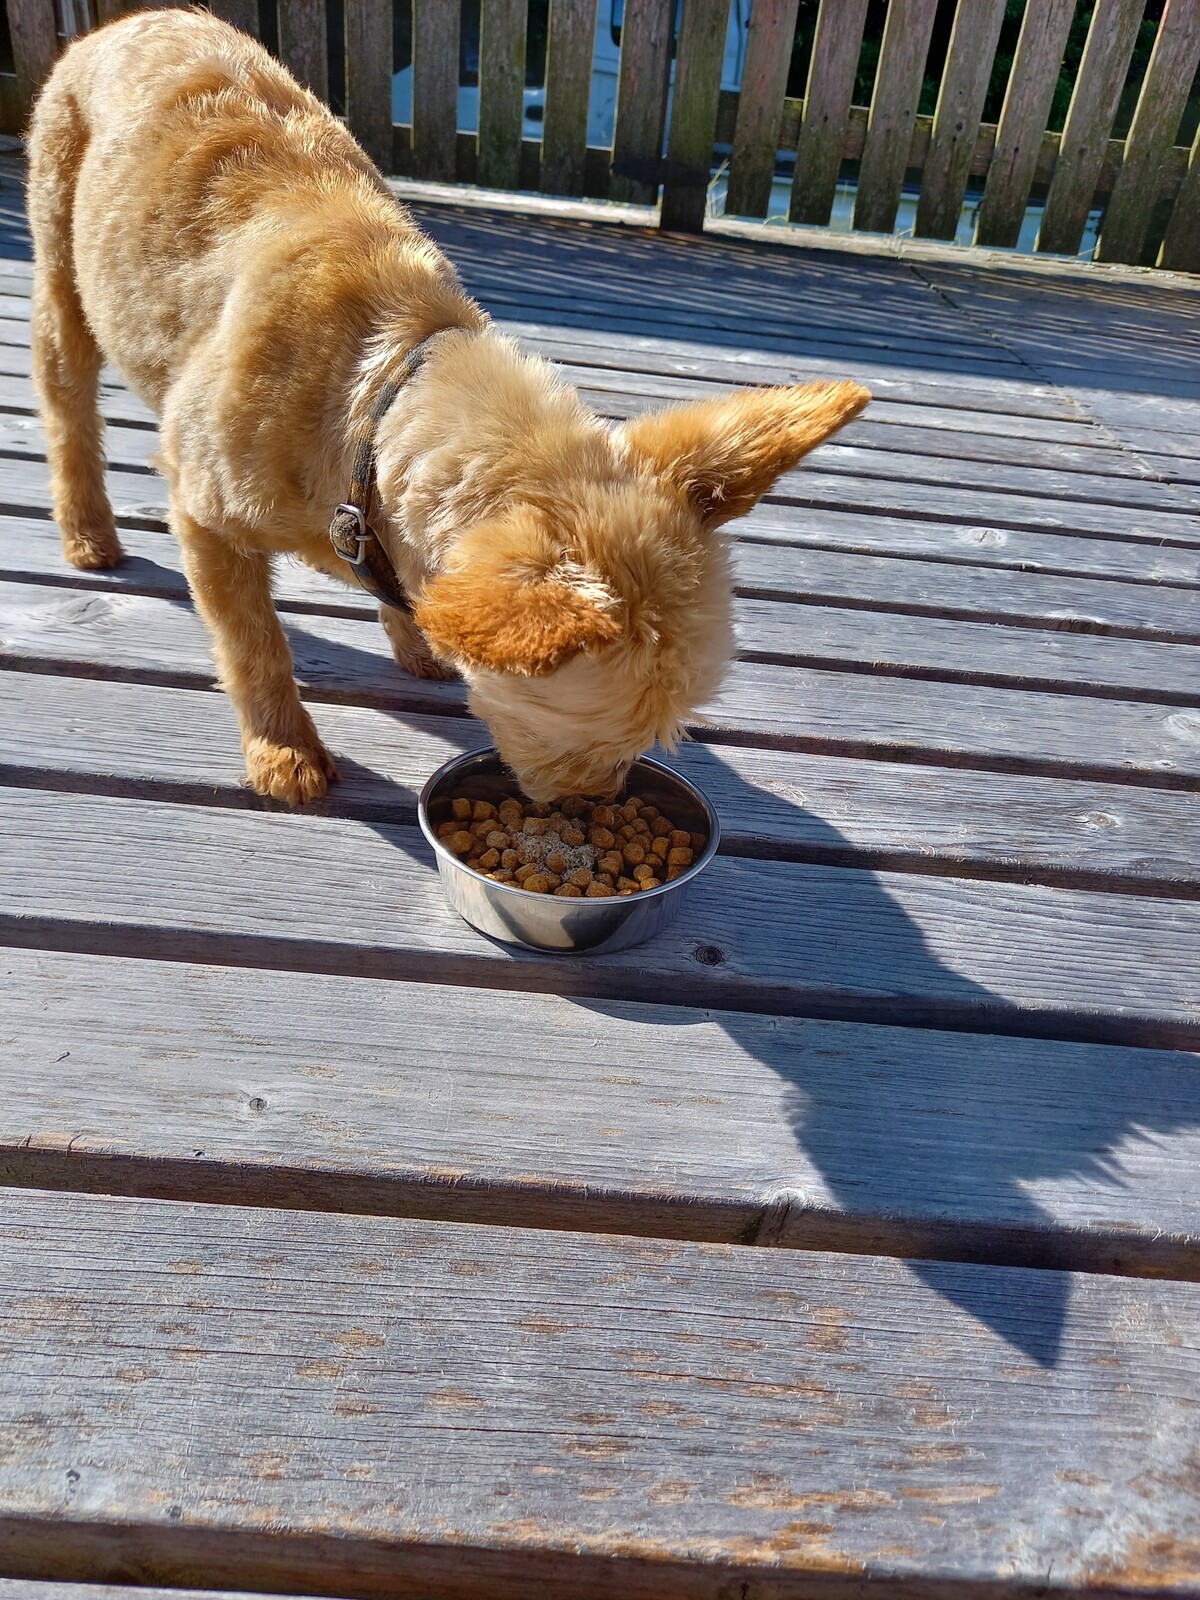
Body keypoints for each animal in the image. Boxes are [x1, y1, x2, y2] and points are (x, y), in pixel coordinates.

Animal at [28, 9, 869, 804]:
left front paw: (414, 635)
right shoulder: (205, 515)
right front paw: (284, 750)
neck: (378, 392)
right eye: (587, 739)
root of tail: (133, 20)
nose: (595, 803)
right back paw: (87, 532)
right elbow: (253, 643)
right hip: (62, 263)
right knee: (68, 407)